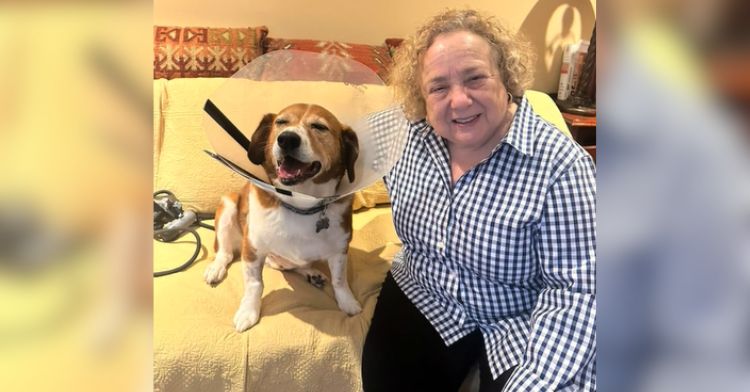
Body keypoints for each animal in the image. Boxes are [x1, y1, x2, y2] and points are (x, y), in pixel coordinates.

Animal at [203, 103, 362, 330]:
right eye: (281, 122)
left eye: (319, 127)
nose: (287, 139)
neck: (300, 204)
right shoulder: (252, 250)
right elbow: (254, 284)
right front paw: (248, 312)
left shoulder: (339, 249)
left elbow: (340, 280)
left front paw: (347, 302)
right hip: (228, 206)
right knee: (224, 253)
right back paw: (216, 268)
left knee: (295, 265)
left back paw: (312, 273)